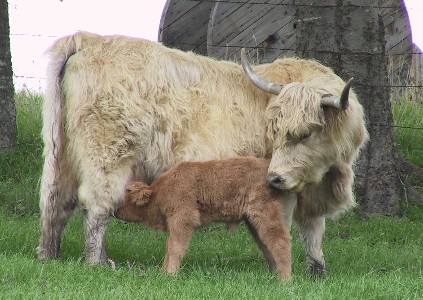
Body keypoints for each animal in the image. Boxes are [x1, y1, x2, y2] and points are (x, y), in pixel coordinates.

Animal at [114, 158, 296, 280]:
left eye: (124, 199)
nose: (114, 211)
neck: (159, 192)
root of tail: (269, 169)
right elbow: (169, 246)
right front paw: (163, 271)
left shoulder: (183, 219)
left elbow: (174, 246)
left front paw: (170, 273)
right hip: (253, 223)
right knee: (266, 245)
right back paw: (273, 274)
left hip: (265, 216)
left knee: (280, 240)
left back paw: (284, 279)